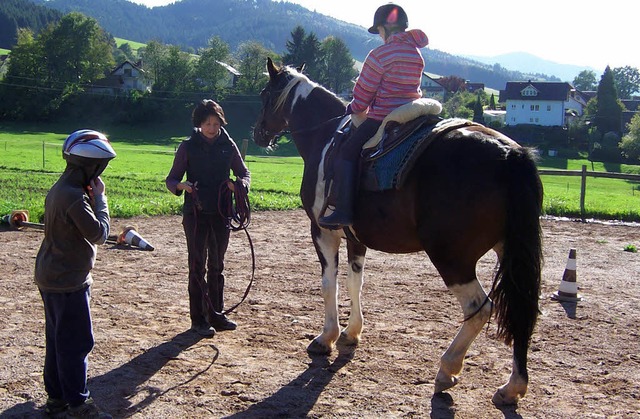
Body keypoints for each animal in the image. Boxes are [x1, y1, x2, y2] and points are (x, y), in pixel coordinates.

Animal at [252, 57, 544, 406]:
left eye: (265, 94)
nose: (258, 133)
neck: (325, 136)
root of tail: (509, 154)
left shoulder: (322, 232)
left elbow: (328, 285)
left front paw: (326, 337)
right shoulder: (355, 239)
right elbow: (354, 282)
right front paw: (352, 332)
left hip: (452, 258)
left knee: (480, 308)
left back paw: (447, 370)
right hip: (509, 252)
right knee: (521, 309)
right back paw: (513, 386)